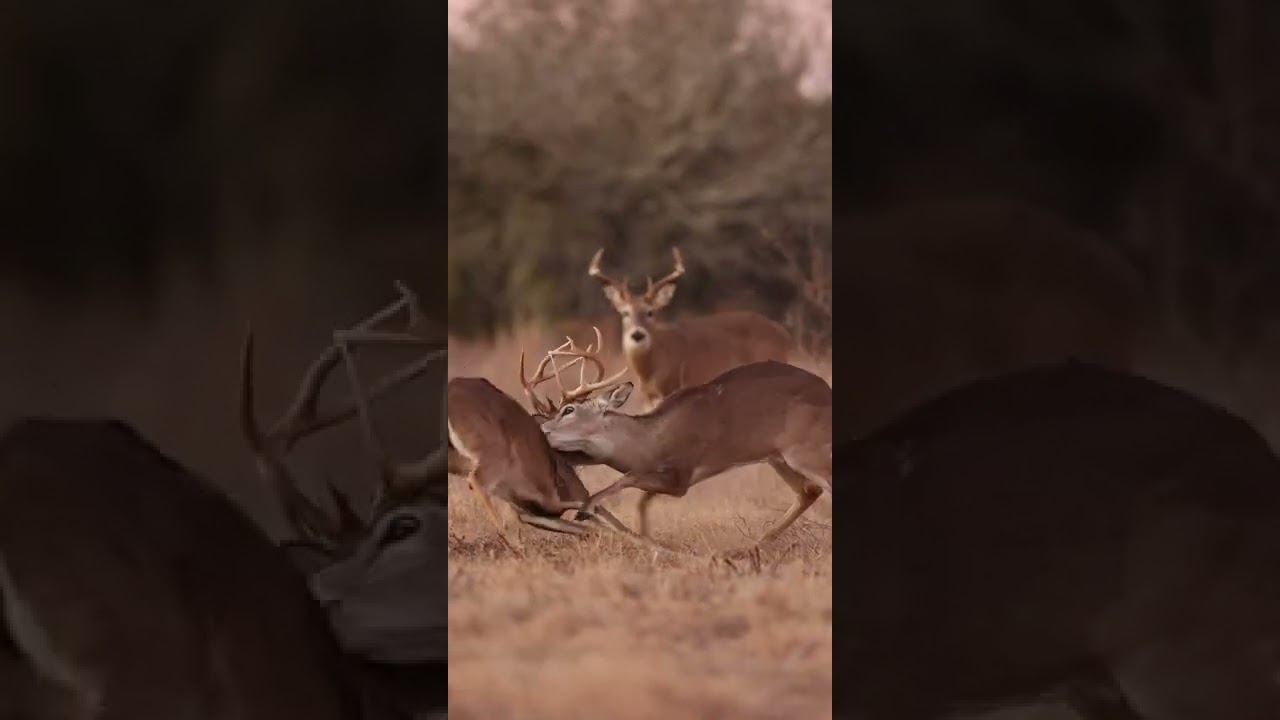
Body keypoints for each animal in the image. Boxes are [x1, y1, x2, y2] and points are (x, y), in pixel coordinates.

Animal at [533, 347, 832, 556]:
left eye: (569, 409)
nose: (542, 429)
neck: (647, 442)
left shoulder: (680, 477)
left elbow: (628, 479)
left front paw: (587, 508)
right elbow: (641, 498)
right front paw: (649, 539)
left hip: (806, 450)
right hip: (777, 456)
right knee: (808, 491)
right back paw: (747, 549)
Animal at [588, 247, 795, 411]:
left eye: (650, 312)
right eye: (625, 313)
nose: (637, 334)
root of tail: (783, 333)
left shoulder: (673, 388)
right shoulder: (647, 398)